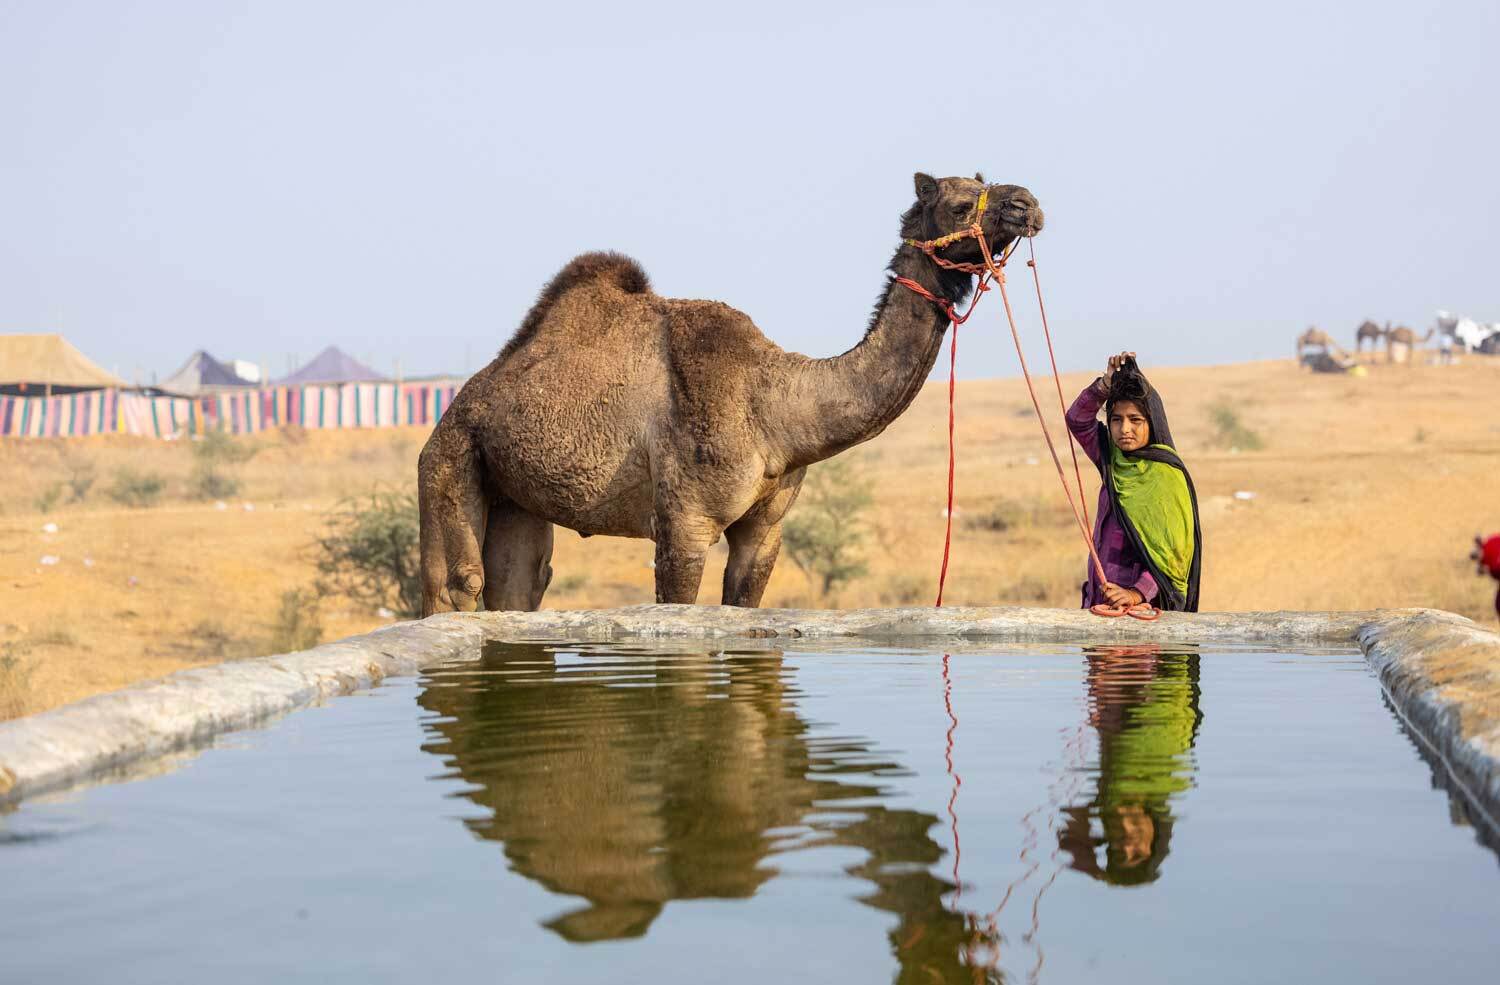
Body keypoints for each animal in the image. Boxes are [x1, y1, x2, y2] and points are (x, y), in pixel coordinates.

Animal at [418, 173, 1044, 614]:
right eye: (962, 204)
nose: (1027, 204)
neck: (778, 407)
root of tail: (461, 403)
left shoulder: (764, 533)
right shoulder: (684, 523)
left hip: (513, 494)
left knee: (520, 584)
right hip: (449, 456)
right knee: (456, 583)